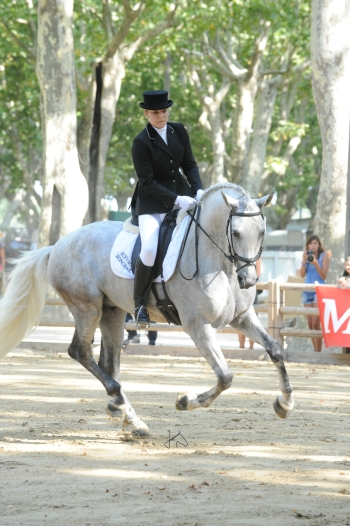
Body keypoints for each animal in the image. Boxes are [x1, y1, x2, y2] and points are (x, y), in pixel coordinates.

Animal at [0, 184, 292, 436]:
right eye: (236, 233)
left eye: (262, 231)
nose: (248, 280)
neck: (220, 264)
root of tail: (57, 245)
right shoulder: (197, 326)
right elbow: (225, 376)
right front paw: (184, 401)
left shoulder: (242, 318)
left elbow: (275, 350)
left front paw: (285, 403)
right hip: (87, 308)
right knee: (80, 352)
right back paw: (119, 401)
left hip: (112, 312)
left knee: (109, 363)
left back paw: (130, 418)